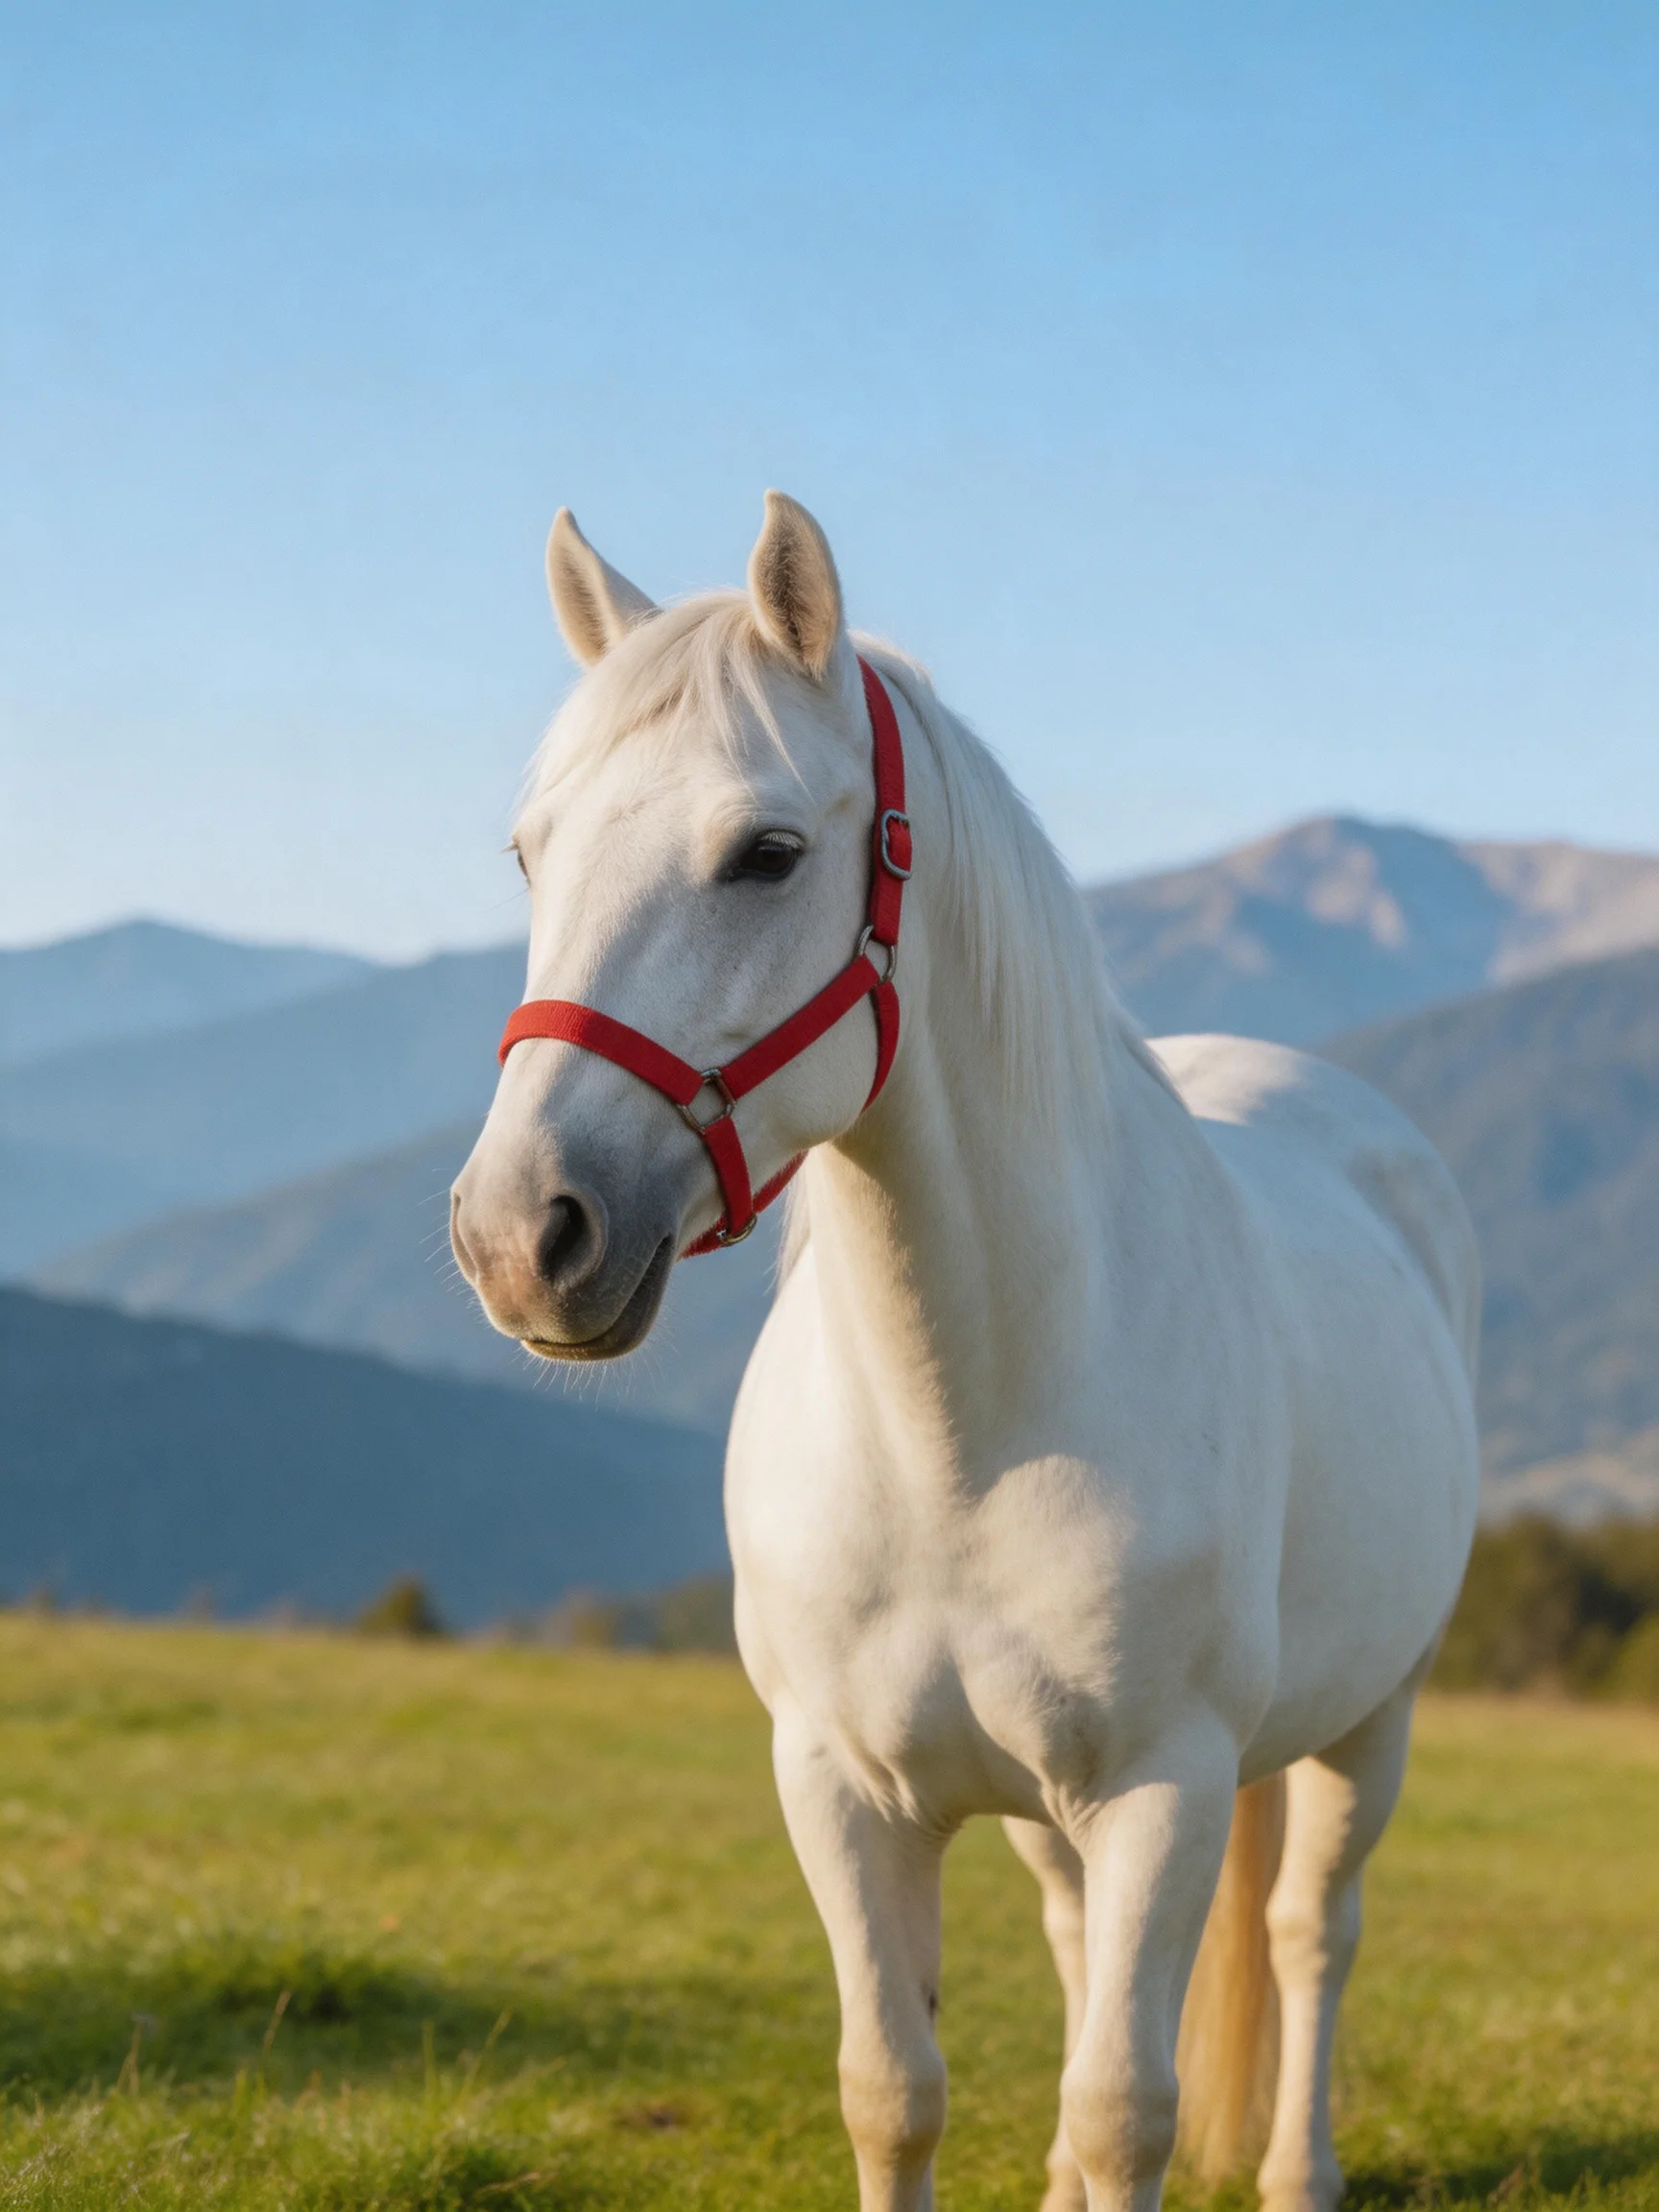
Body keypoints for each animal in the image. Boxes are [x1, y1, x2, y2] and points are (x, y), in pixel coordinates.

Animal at [451, 492, 1481, 2212]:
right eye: (534, 851)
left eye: (768, 854)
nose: (523, 1233)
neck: (964, 1425)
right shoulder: (842, 1788)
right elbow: (896, 2091)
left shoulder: (1165, 1788)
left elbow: (1126, 2105)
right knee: (1078, 1943)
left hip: (1369, 1722)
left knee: (1307, 1935)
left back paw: (1299, 2172)